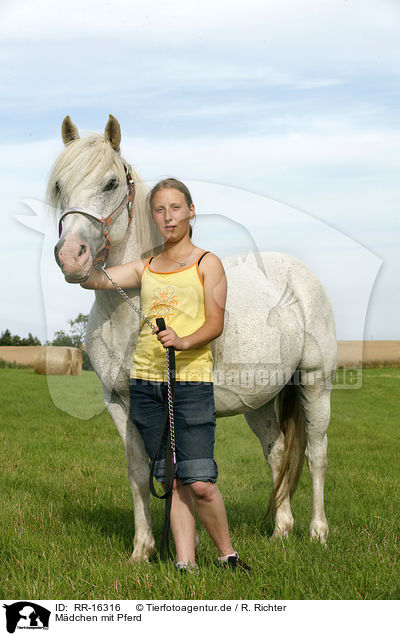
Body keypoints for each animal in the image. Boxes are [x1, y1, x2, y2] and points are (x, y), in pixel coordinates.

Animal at [50, 114, 338, 560]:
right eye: (60, 186)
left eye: (111, 183)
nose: (71, 256)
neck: (128, 308)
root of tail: (302, 275)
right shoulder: (118, 402)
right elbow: (140, 470)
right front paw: (145, 549)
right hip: (261, 399)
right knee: (276, 453)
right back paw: (282, 529)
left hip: (315, 383)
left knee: (316, 454)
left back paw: (317, 532)